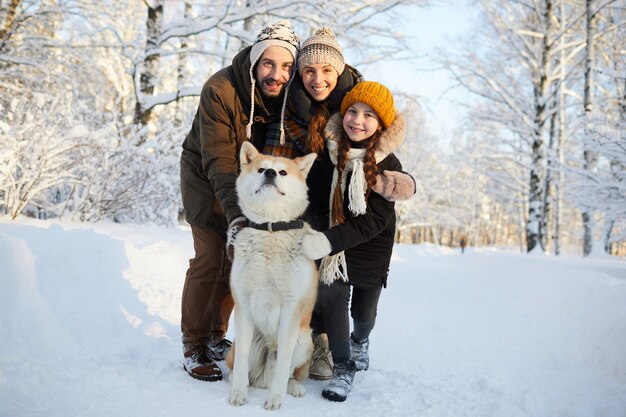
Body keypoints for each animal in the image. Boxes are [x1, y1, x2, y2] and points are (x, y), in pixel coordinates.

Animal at [225, 141, 316, 410]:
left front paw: (275, 399)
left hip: (305, 339)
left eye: (283, 172)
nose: (270, 173)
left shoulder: (291, 309)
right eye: (260, 168)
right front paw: (238, 393)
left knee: (289, 373)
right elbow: (242, 359)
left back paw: (293, 388)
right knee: (237, 364)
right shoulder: (243, 306)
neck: (270, 229)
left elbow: (284, 363)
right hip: (243, 341)